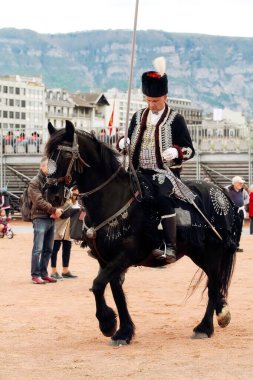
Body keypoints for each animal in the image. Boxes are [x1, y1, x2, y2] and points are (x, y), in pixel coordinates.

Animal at [44, 120, 238, 346]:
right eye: (47, 154)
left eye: (66, 155)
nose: (52, 195)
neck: (113, 199)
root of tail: (221, 192)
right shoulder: (106, 259)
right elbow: (115, 292)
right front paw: (123, 331)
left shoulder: (126, 255)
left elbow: (98, 284)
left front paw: (107, 323)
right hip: (200, 254)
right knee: (215, 283)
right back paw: (221, 313)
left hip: (212, 252)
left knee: (214, 284)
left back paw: (204, 327)